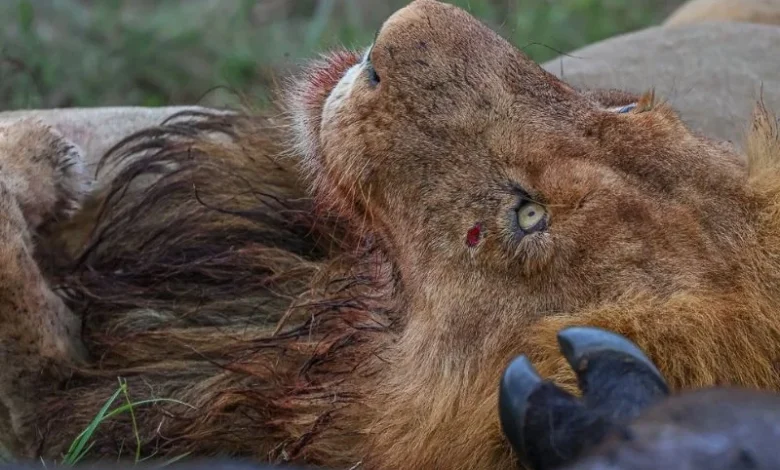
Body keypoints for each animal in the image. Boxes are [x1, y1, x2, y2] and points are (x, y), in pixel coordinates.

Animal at [2, 1, 780, 469]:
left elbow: (24, 319)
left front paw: (36, 160)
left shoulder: (77, 403)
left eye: (527, 216)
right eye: (622, 108)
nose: (399, 27)